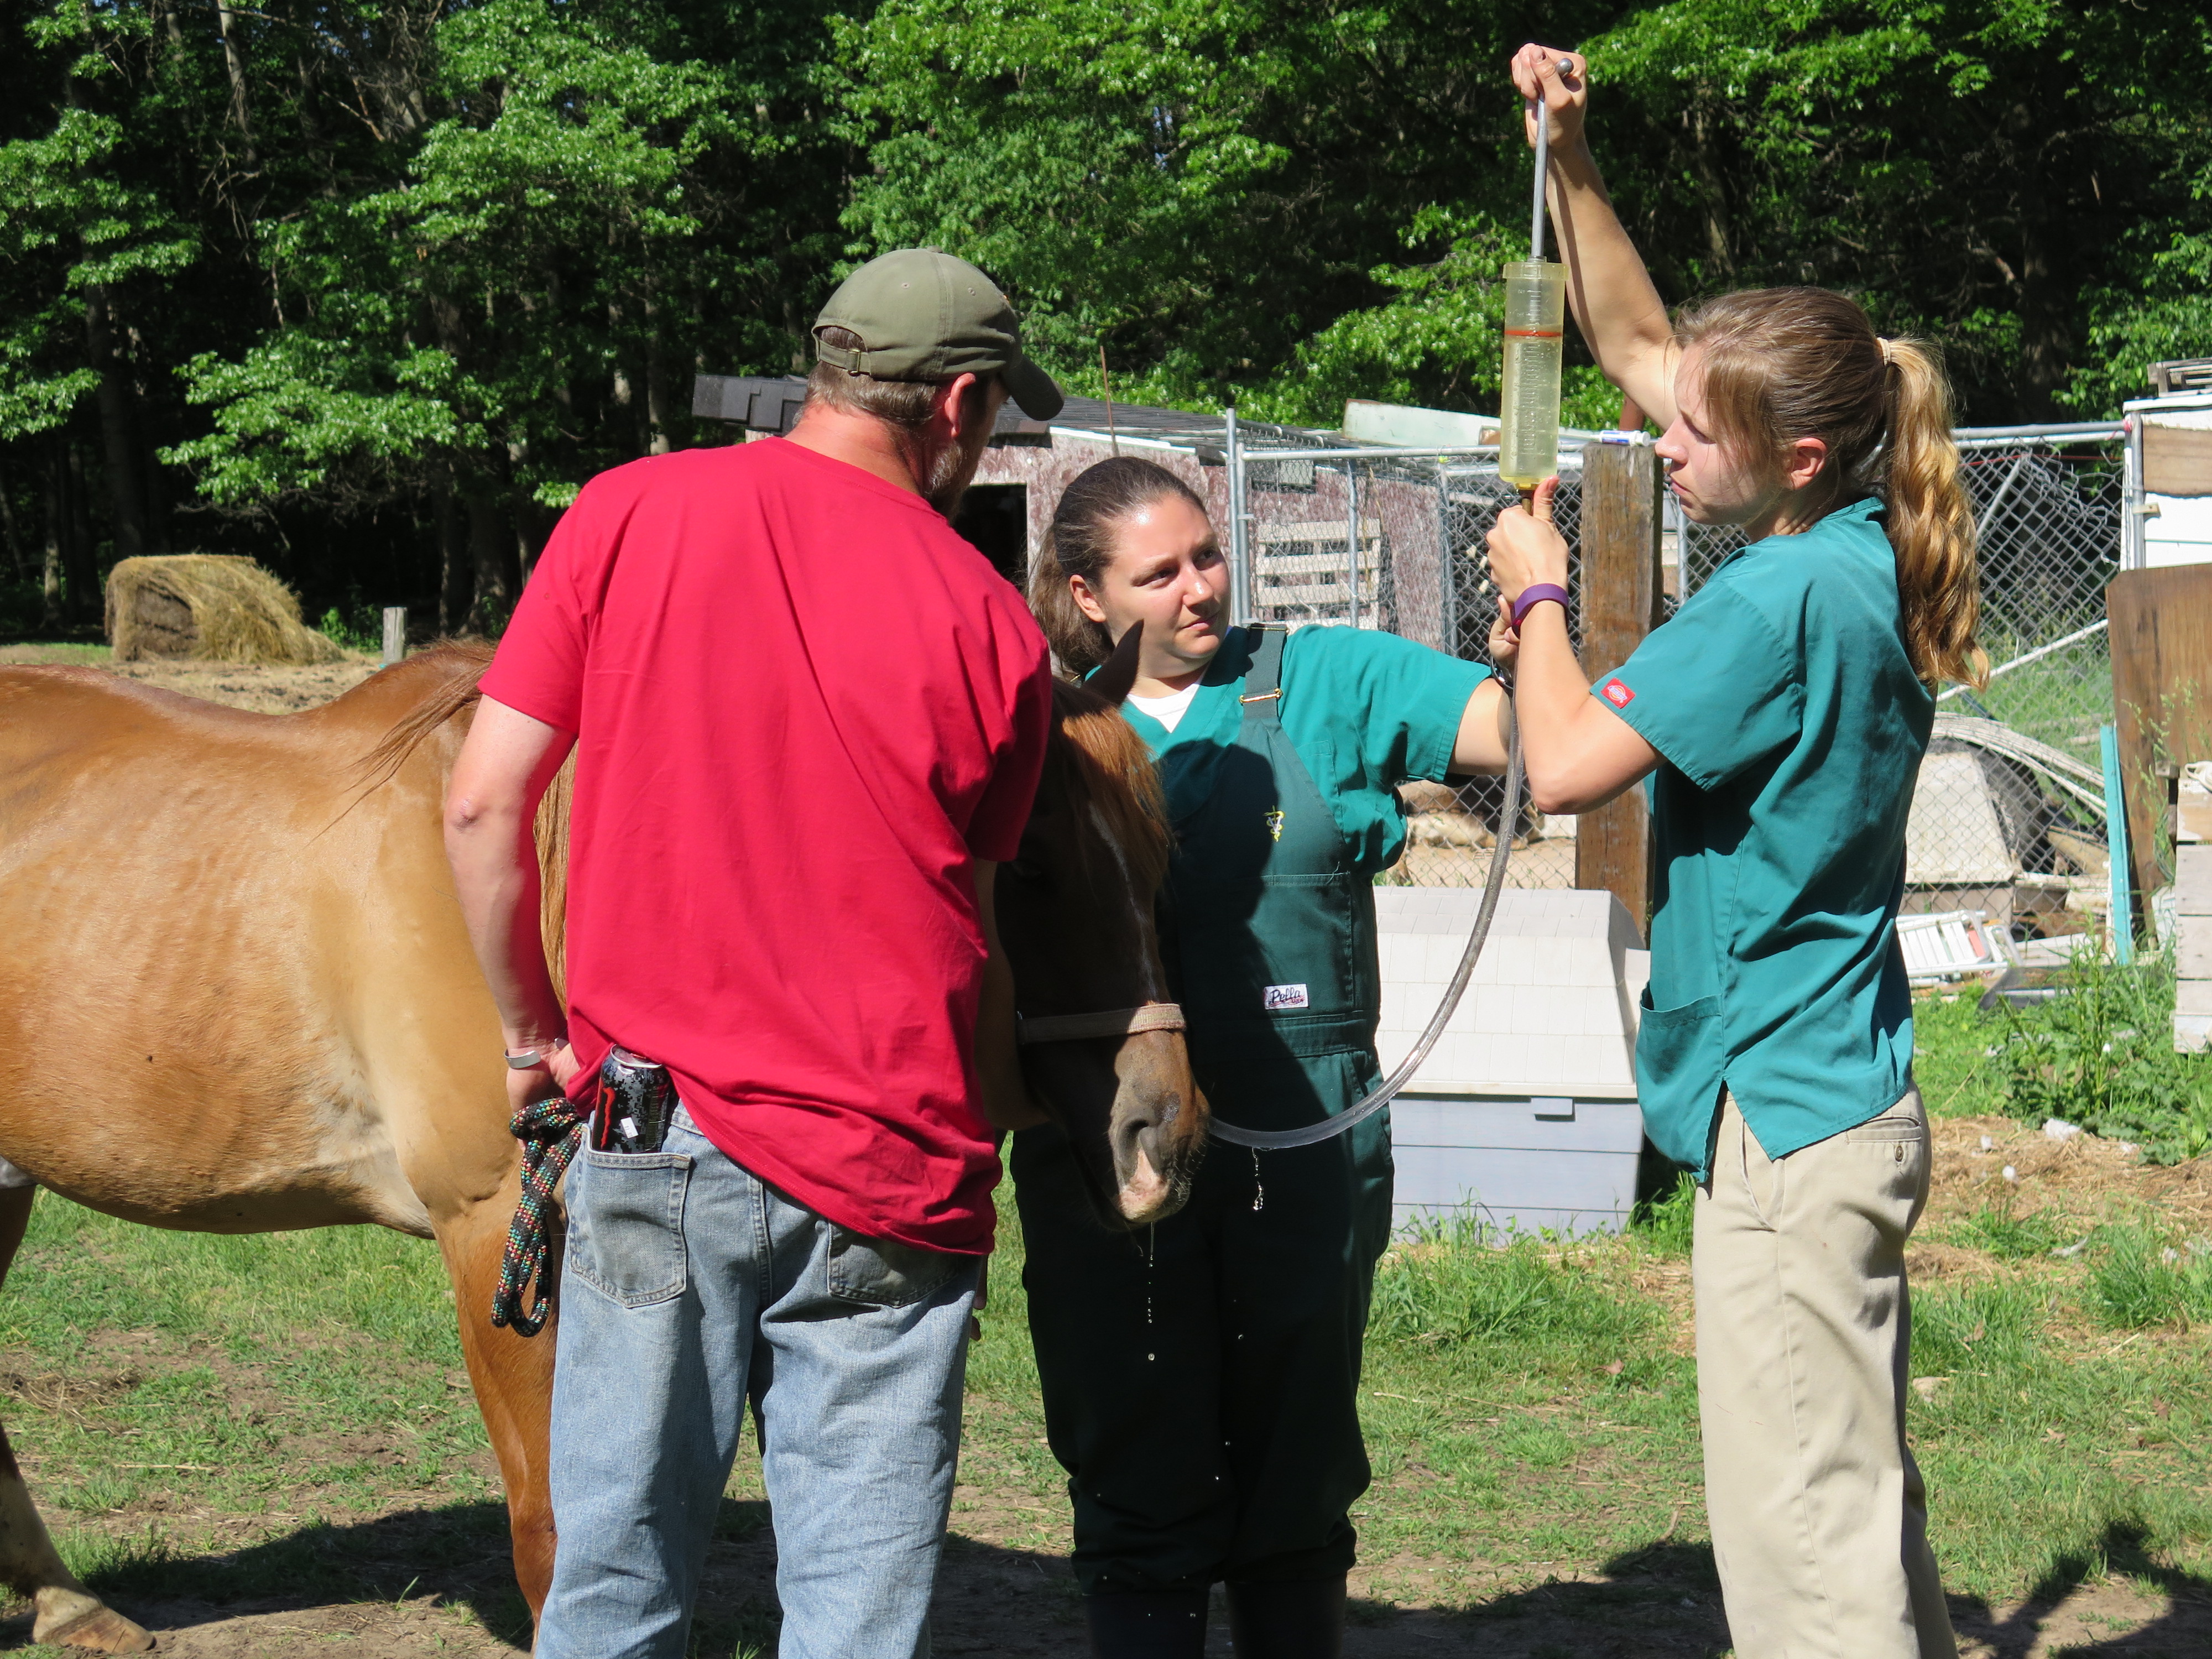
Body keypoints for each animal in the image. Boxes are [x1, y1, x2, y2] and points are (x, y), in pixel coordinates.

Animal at [0, 639, 1201, 1651]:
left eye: (1159, 860)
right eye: (1033, 866)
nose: (1167, 1138)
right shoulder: (499, 1231)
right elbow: (556, 1527)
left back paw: (69, 1607)